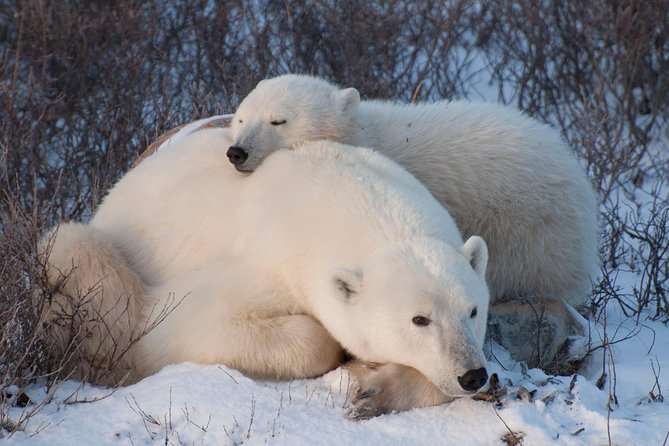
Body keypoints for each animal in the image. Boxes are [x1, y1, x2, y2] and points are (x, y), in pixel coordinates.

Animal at [43, 129, 490, 418]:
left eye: (472, 311)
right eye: (419, 319)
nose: (473, 375)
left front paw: (373, 386)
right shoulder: (268, 259)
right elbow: (186, 323)